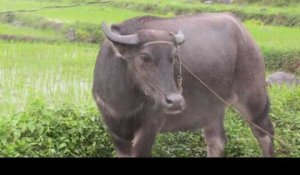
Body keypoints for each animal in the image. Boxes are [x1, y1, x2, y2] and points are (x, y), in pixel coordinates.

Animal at [92, 13, 274, 157]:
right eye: (144, 57)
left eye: (173, 57)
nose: (176, 101)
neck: (124, 102)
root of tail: (244, 34)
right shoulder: (115, 130)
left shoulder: (149, 127)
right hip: (213, 108)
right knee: (216, 140)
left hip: (254, 99)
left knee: (265, 133)